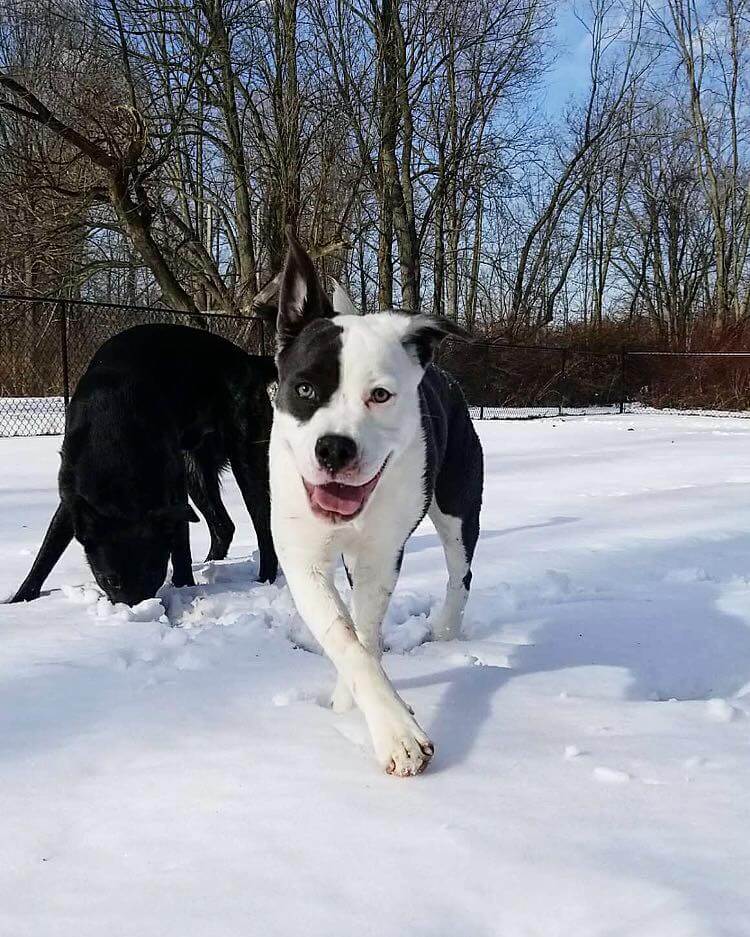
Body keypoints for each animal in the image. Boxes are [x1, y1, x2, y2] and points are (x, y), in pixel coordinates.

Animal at [10, 324, 280, 608]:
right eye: (111, 580)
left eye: (155, 573)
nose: (138, 612)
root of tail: (247, 359)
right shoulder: (71, 500)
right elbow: (46, 553)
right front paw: (20, 599)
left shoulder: (174, 488)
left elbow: (180, 543)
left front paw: (184, 585)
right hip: (195, 473)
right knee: (224, 526)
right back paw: (210, 564)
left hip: (246, 460)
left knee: (263, 524)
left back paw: (265, 577)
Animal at [274, 234, 484, 776]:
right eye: (304, 388)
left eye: (381, 395)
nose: (334, 448)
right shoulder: (305, 559)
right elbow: (347, 637)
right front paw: (375, 716)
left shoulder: (380, 555)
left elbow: (365, 634)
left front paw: (391, 728)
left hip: (458, 507)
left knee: (461, 571)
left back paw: (445, 631)